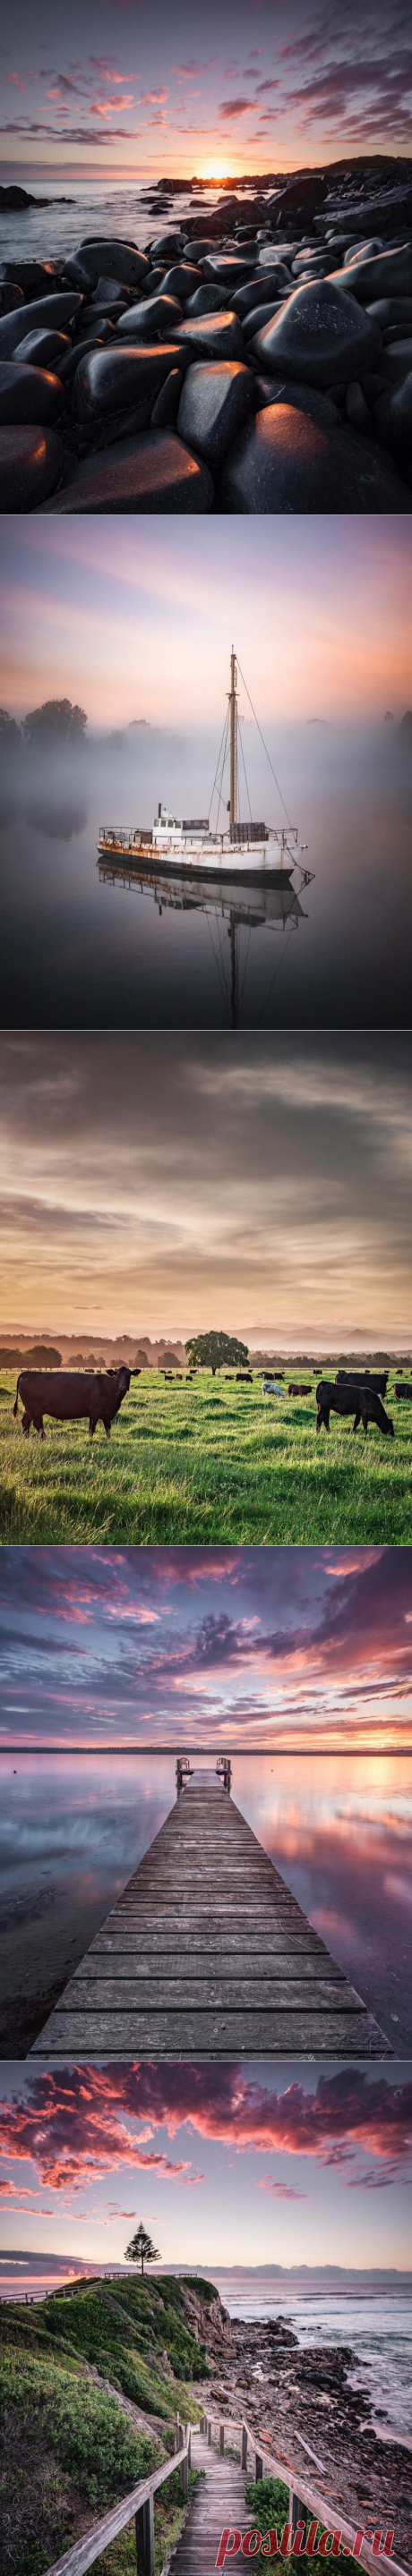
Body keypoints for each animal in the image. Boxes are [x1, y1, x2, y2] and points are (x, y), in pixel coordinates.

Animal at [12, 1360, 134, 1442]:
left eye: (129, 1375)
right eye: (117, 1375)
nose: (123, 1387)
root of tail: (26, 1373)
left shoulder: (106, 1414)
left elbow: (108, 1428)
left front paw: (109, 1440)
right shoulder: (94, 1411)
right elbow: (92, 1428)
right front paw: (90, 1440)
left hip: (28, 1409)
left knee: (25, 1422)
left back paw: (26, 1438)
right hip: (35, 1408)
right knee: (37, 1424)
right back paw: (45, 1439)